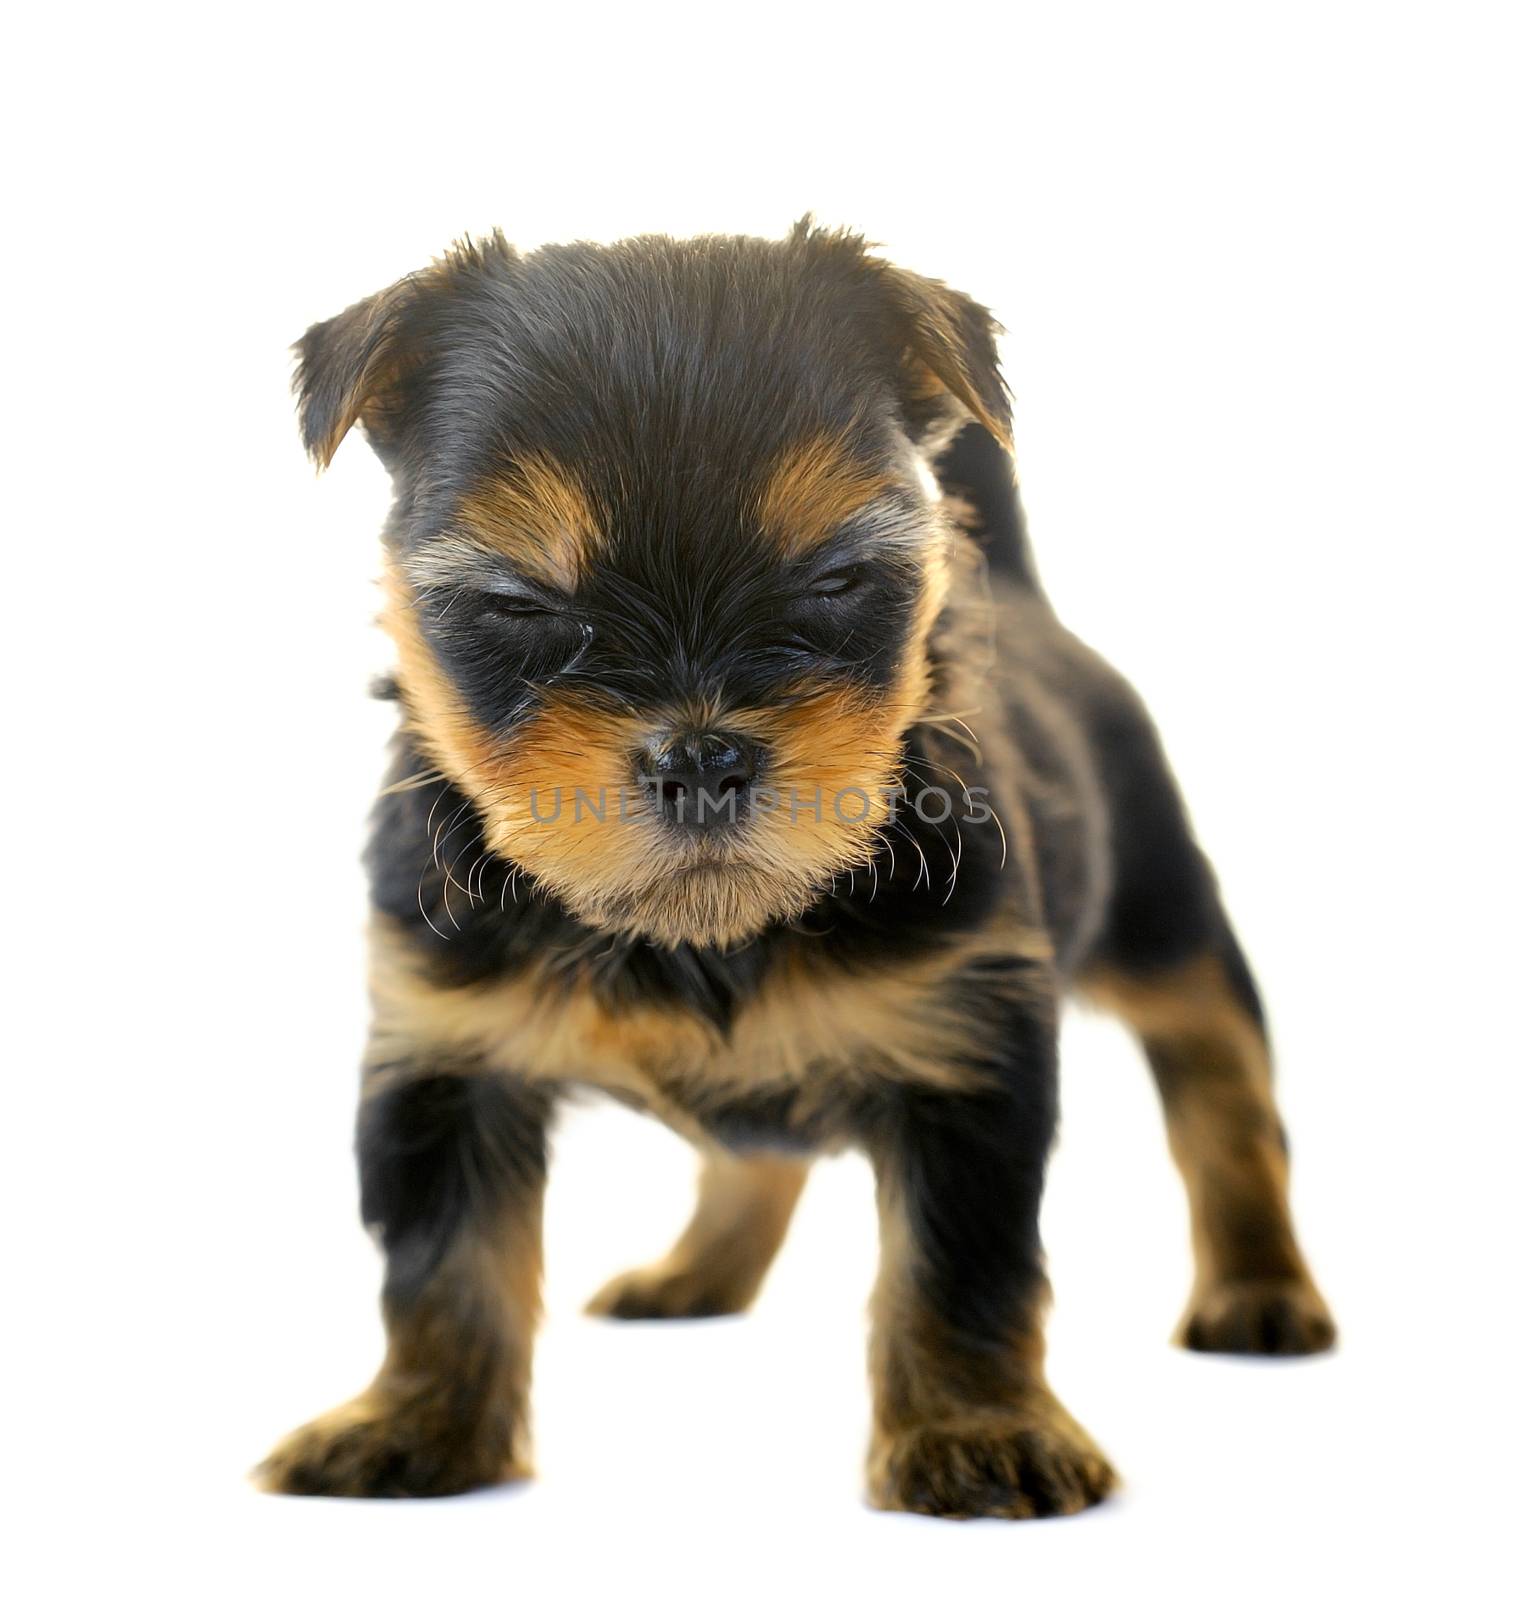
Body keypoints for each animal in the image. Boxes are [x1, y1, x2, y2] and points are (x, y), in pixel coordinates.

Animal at [259, 222, 1330, 1510]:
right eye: (520, 602)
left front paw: (978, 1433)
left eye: (833, 580)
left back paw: (1260, 1289)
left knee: (1224, 1091)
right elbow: (443, 1259)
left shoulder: (965, 1045)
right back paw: (692, 1276)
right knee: (754, 1154)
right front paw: (414, 1425)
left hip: (1162, 911)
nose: (699, 752)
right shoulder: (444, 1051)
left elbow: (958, 1264)